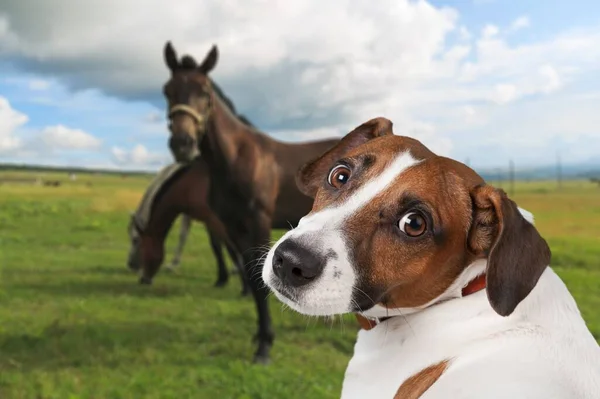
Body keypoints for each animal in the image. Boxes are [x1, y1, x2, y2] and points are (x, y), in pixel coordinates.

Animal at [125, 158, 250, 296]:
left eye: (136, 240)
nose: (131, 265)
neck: (191, 185)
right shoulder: (209, 221)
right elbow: (217, 247)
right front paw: (222, 279)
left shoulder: (218, 222)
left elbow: (231, 250)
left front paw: (245, 287)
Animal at [157, 42, 340, 364]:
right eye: (168, 90)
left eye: (205, 91)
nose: (183, 144)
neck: (236, 158)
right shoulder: (233, 227)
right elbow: (251, 280)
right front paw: (260, 337)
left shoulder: (259, 223)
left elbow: (259, 280)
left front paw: (264, 347)